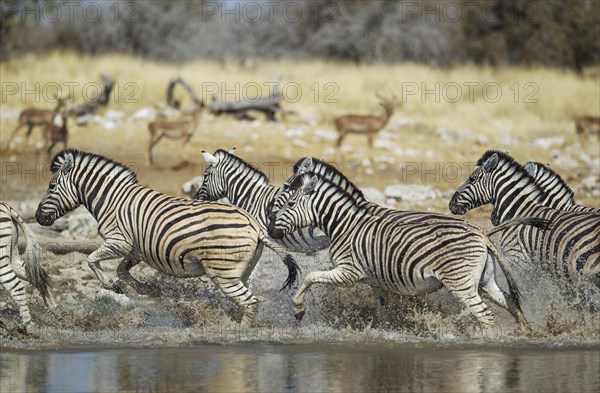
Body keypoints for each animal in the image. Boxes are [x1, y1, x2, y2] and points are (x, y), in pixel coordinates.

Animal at [1, 199, 53, 328]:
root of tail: (7, 207)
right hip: (12, 254)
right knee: (37, 277)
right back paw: (53, 307)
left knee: (17, 286)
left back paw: (28, 324)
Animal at [34, 149, 298, 324]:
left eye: (51, 187)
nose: (37, 217)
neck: (112, 199)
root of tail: (255, 226)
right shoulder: (135, 250)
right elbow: (122, 271)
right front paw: (146, 289)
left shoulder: (119, 242)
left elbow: (92, 260)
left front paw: (109, 284)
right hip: (241, 269)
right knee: (246, 300)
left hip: (223, 273)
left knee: (250, 302)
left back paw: (240, 332)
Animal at [266, 172, 524, 328]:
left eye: (289, 204)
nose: (269, 229)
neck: (344, 224)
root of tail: (481, 233)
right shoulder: (377, 282)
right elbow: (382, 311)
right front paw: (384, 331)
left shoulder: (348, 273)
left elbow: (310, 277)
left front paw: (298, 310)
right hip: (484, 281)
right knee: (511, 303)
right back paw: (525, 332)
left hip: (460, 283)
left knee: (485, 316)